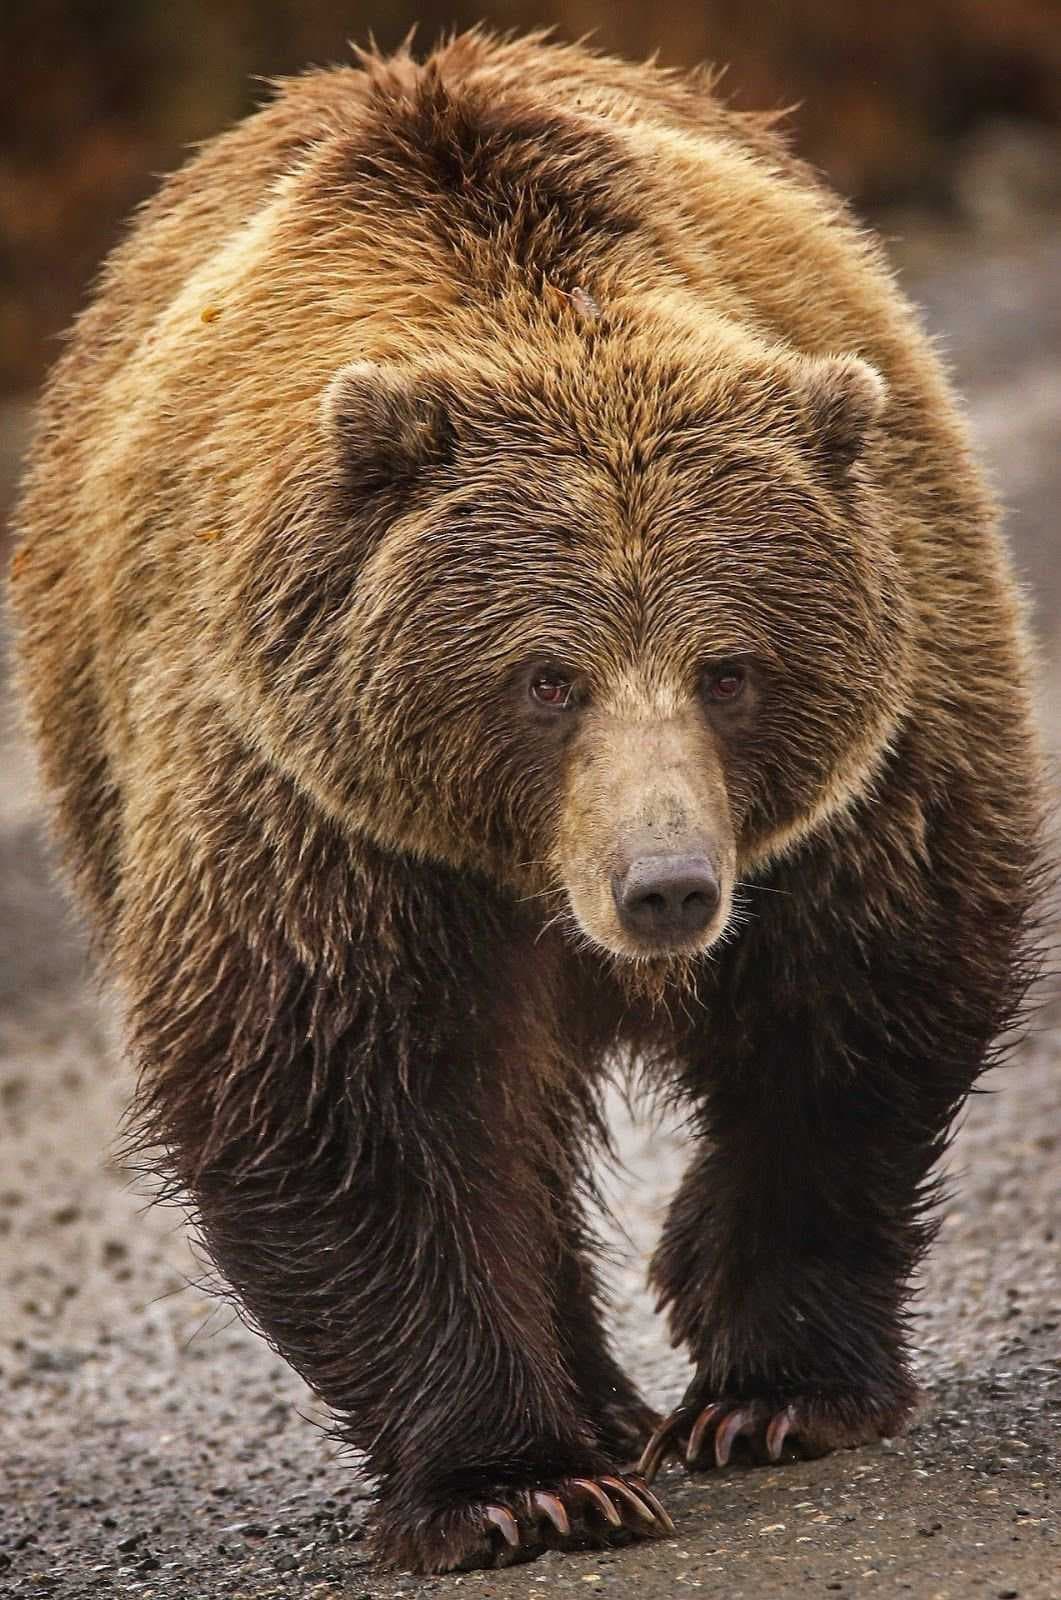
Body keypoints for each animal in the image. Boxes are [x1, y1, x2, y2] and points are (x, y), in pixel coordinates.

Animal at [8, 28, 1045, 1575]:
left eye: (728, 667)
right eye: (547, 677)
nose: (664, 885)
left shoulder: (876, 758)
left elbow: (856, 1013)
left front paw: (771, 1389)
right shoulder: (312, 808)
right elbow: (337, 1094)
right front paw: (520, 1482)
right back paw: (594, 1406)